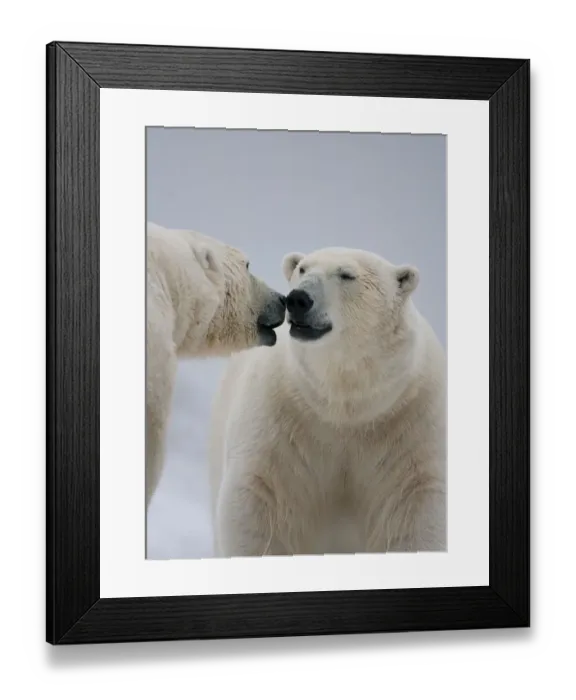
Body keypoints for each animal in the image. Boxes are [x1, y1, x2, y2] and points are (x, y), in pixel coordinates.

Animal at [208, 246, 446, 557]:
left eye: (346, 275)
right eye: (303, 269)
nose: (297, 299)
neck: (344, 403)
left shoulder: (411, 423)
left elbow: (415, 507)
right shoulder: (281, 418)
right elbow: (260, 500)